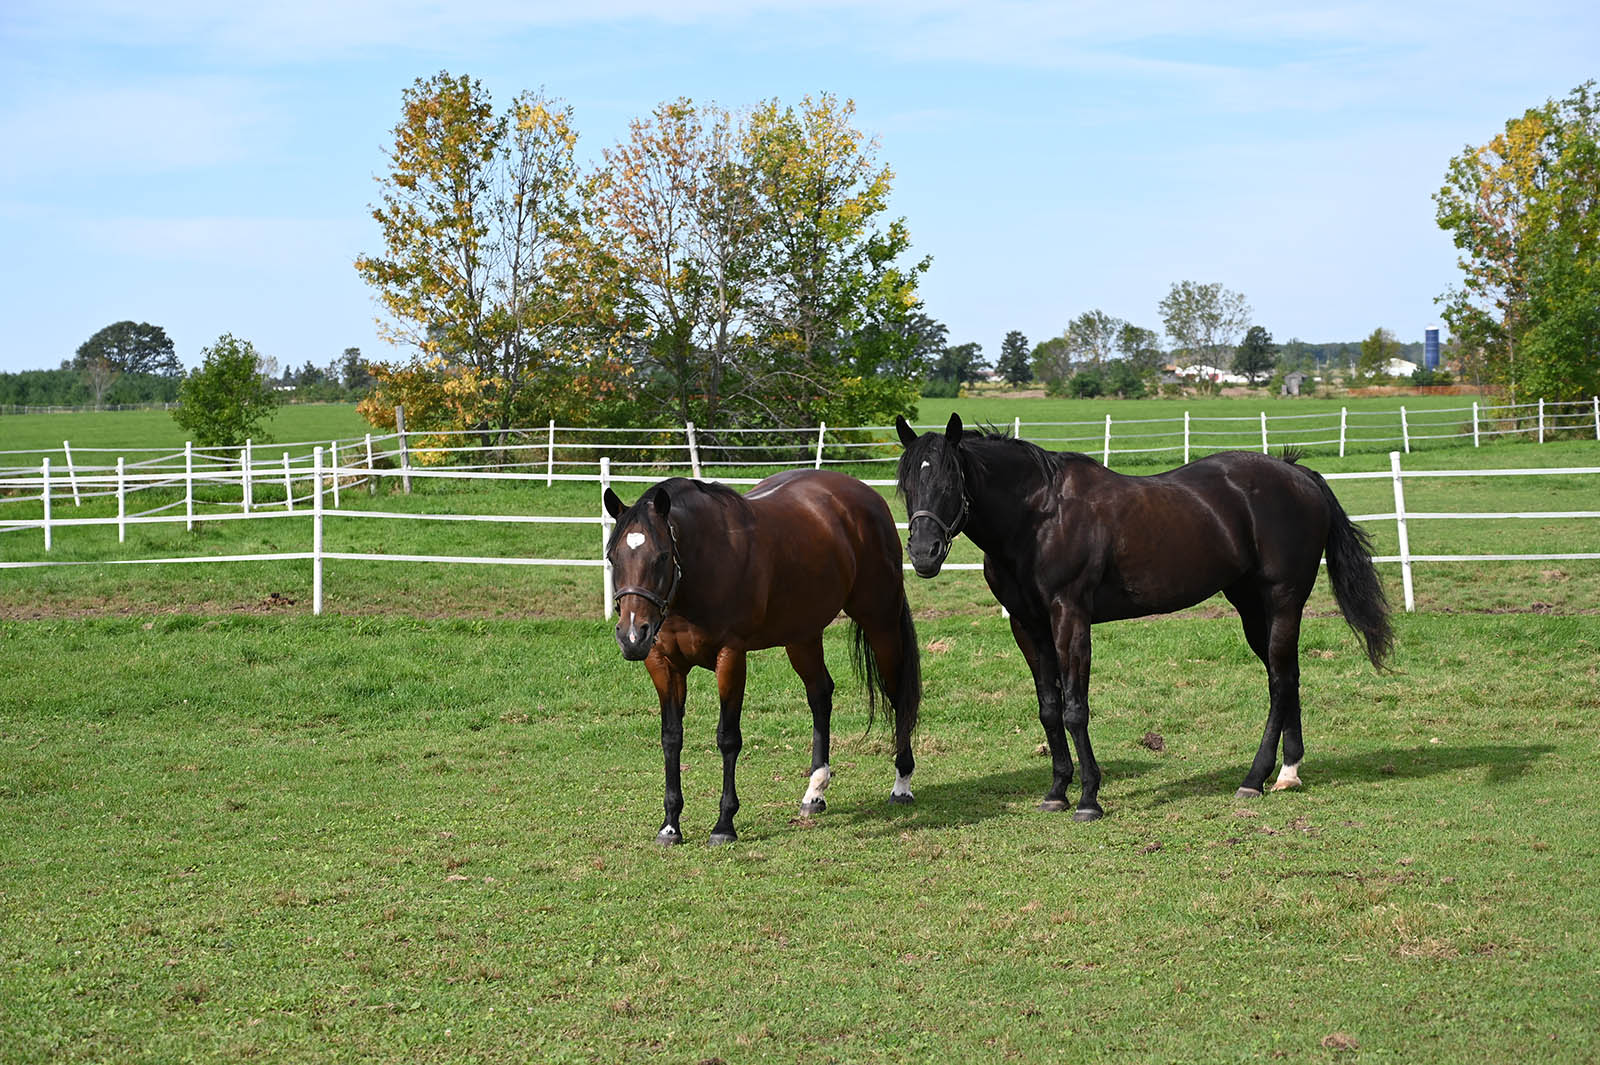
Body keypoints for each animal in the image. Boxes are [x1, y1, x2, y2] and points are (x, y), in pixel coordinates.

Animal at [601, 470, 928, 844]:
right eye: (612, 559)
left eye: (660, 557)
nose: (631, 636)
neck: (702, 565)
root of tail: (866, 496)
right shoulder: (662, 664)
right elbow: (671, 738)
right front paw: (670, 825)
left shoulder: (731, 657)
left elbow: (728, 738)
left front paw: (724, 824)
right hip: (802, 636)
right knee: (820, 695)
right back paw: (814, 792)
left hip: (880, 624)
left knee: (897, 694)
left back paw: (901, 785)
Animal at [896, 409, 1395, 815]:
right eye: (907, 485)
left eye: (949, 483)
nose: (923, 554)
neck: (1039, 517)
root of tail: (1298, 475)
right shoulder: (1028, 626)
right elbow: (1049, 709)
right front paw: (1056, 792)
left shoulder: (1070, 618)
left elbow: (1076, 709)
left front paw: (1089, 798)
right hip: (1253, 608)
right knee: (1287, 676)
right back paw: (1288, 773)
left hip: (1283, 601)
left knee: (1278, 682)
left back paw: (1254, 779)